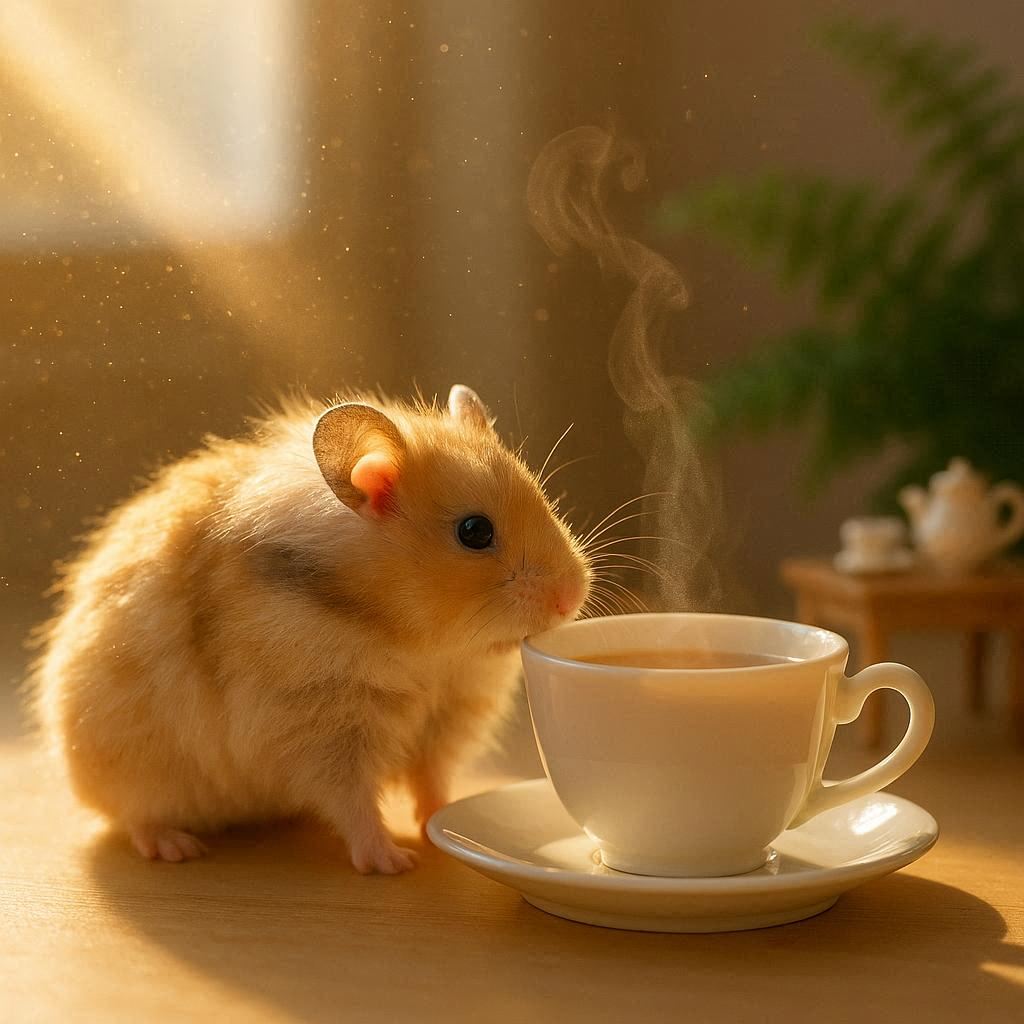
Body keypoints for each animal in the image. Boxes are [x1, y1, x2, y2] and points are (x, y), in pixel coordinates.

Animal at [31, 385, 591, 873]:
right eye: (474, 532)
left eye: (542, 496)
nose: (572, 597)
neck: (422, 644)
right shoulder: (321, 725)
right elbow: (352, 801)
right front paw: (393, 863)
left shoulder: (446, 716)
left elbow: (430, 779)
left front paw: (441, 824)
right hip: (128, 765)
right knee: (134, 816)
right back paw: (177, 848)